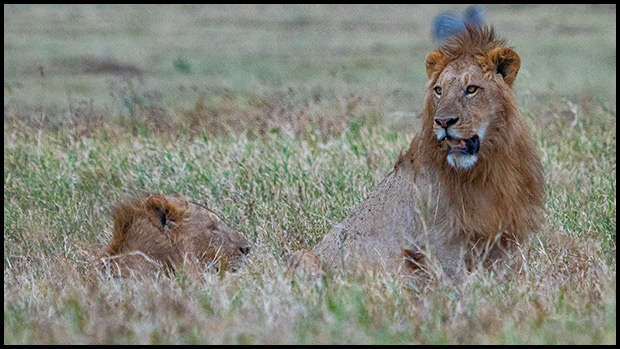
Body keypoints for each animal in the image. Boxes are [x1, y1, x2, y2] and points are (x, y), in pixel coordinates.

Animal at [290, 25, 544, 278]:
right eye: (439, 90)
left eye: (471, 89)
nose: (443, 121)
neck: (487, 166)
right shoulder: (441, 239)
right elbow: (460, 280)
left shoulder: (506, 238)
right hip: (302, 256)